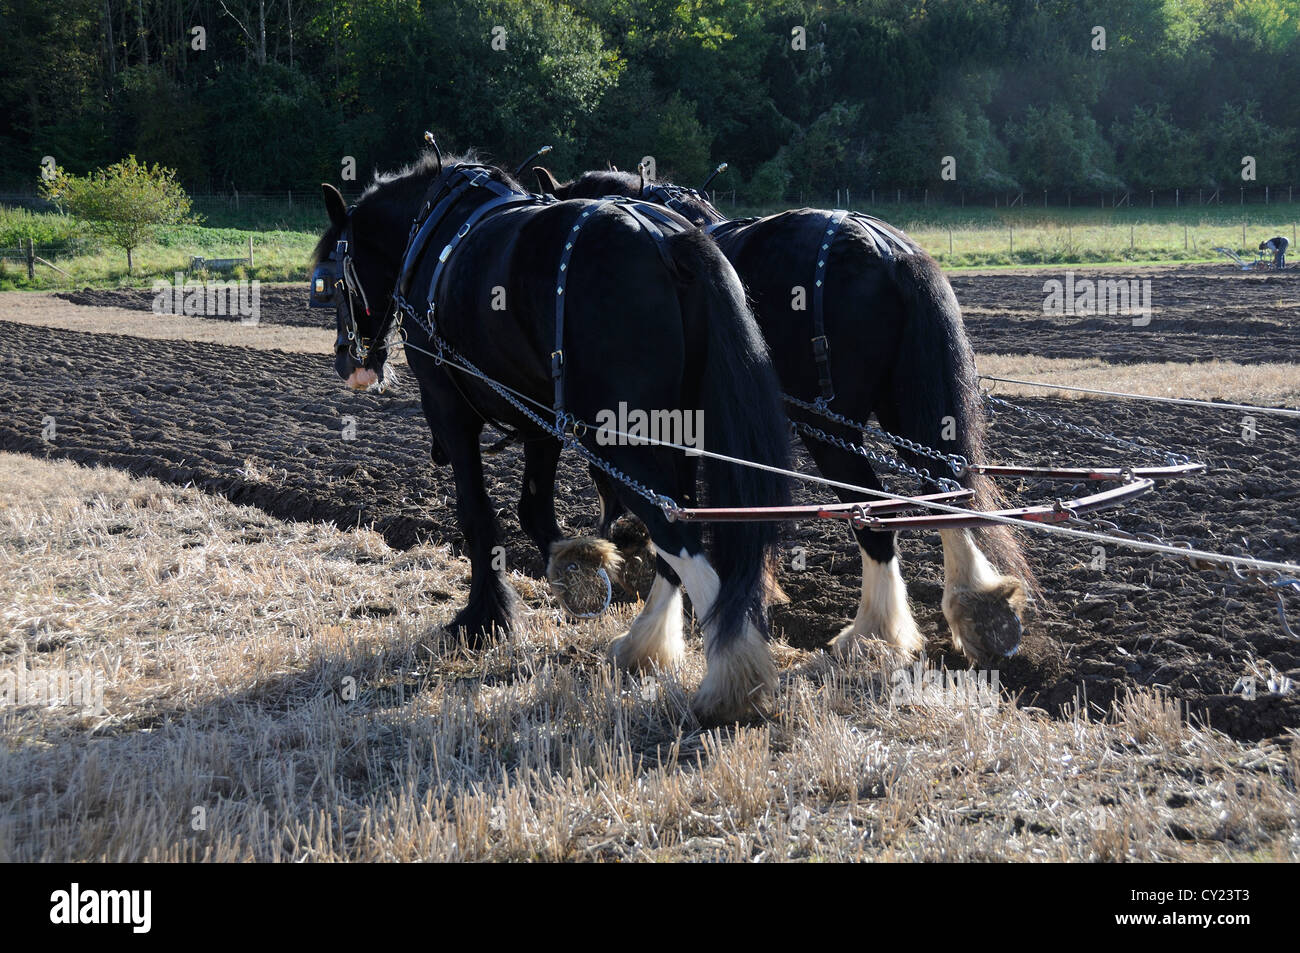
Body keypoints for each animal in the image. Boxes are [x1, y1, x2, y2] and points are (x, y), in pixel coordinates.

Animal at [309, 151, 792, 724]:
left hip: (622, 440)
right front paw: (578, 572)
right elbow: (534, 511)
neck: (431, 235)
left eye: (334, 279)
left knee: (685, 543)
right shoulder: (540, 420)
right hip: (670, 432)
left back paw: (732, 681)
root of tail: (668, 241)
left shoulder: (448, 408)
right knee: (678, 526)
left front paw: (484, 618)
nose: (348, 361)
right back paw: (645, 645)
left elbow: (478, 516)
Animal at [533, 165, 1034, 667]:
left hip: (832, 428)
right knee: (944, 488)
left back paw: (872, 633)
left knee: (872, 512)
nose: (610, 535)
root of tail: (886, 249)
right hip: (909, 408)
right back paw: (978, 608)